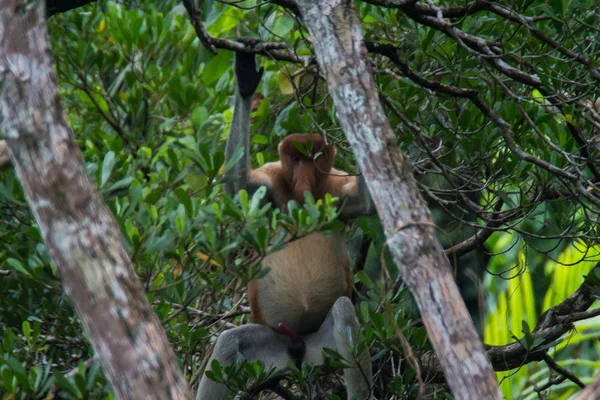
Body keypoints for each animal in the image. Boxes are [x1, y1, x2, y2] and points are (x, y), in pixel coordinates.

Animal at [197, 43, 376, 400]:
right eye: (295, 158)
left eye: (313, 158)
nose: (305, 179)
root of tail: (298, 349)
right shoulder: (271, 182)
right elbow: (237, 185)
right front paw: (245, 78)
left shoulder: (338, 190)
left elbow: (368, 201)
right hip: (271, 345)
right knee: (228, 342)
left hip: (322, 344)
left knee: (343, 313)